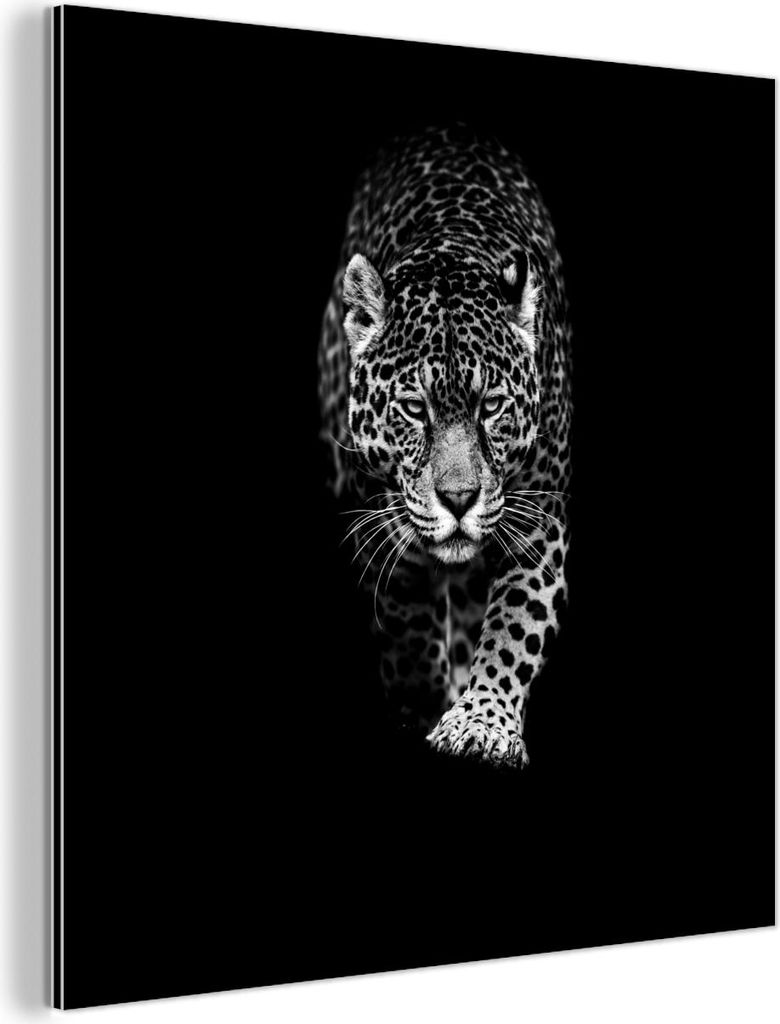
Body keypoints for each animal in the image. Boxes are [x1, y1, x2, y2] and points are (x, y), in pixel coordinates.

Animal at [318, 124, 572, 768]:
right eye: (415, 409)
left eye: (492, 407)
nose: (458, 499)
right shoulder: (381, 528)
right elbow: (406, 626)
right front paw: (421, 708)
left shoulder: (538, 523)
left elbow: (515, 624)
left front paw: (481, 723)